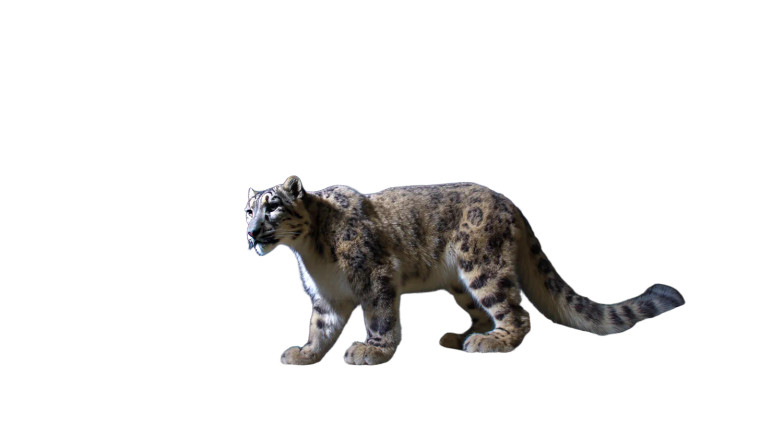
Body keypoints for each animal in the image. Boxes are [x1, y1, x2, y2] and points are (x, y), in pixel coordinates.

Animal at [245, 176, 685, 365]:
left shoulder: (376, 278)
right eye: (248, 210)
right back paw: (461, 337)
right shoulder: (326, 298)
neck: (309, 255)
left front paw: (372, 350)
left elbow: (381, 319)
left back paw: (490, 343)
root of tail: (510, 203)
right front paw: (304, 353)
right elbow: (319, 328)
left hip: (483, 268)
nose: (251, 233)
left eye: (273, 206)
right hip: (461, 284)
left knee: (517, 313)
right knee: (483, 312)